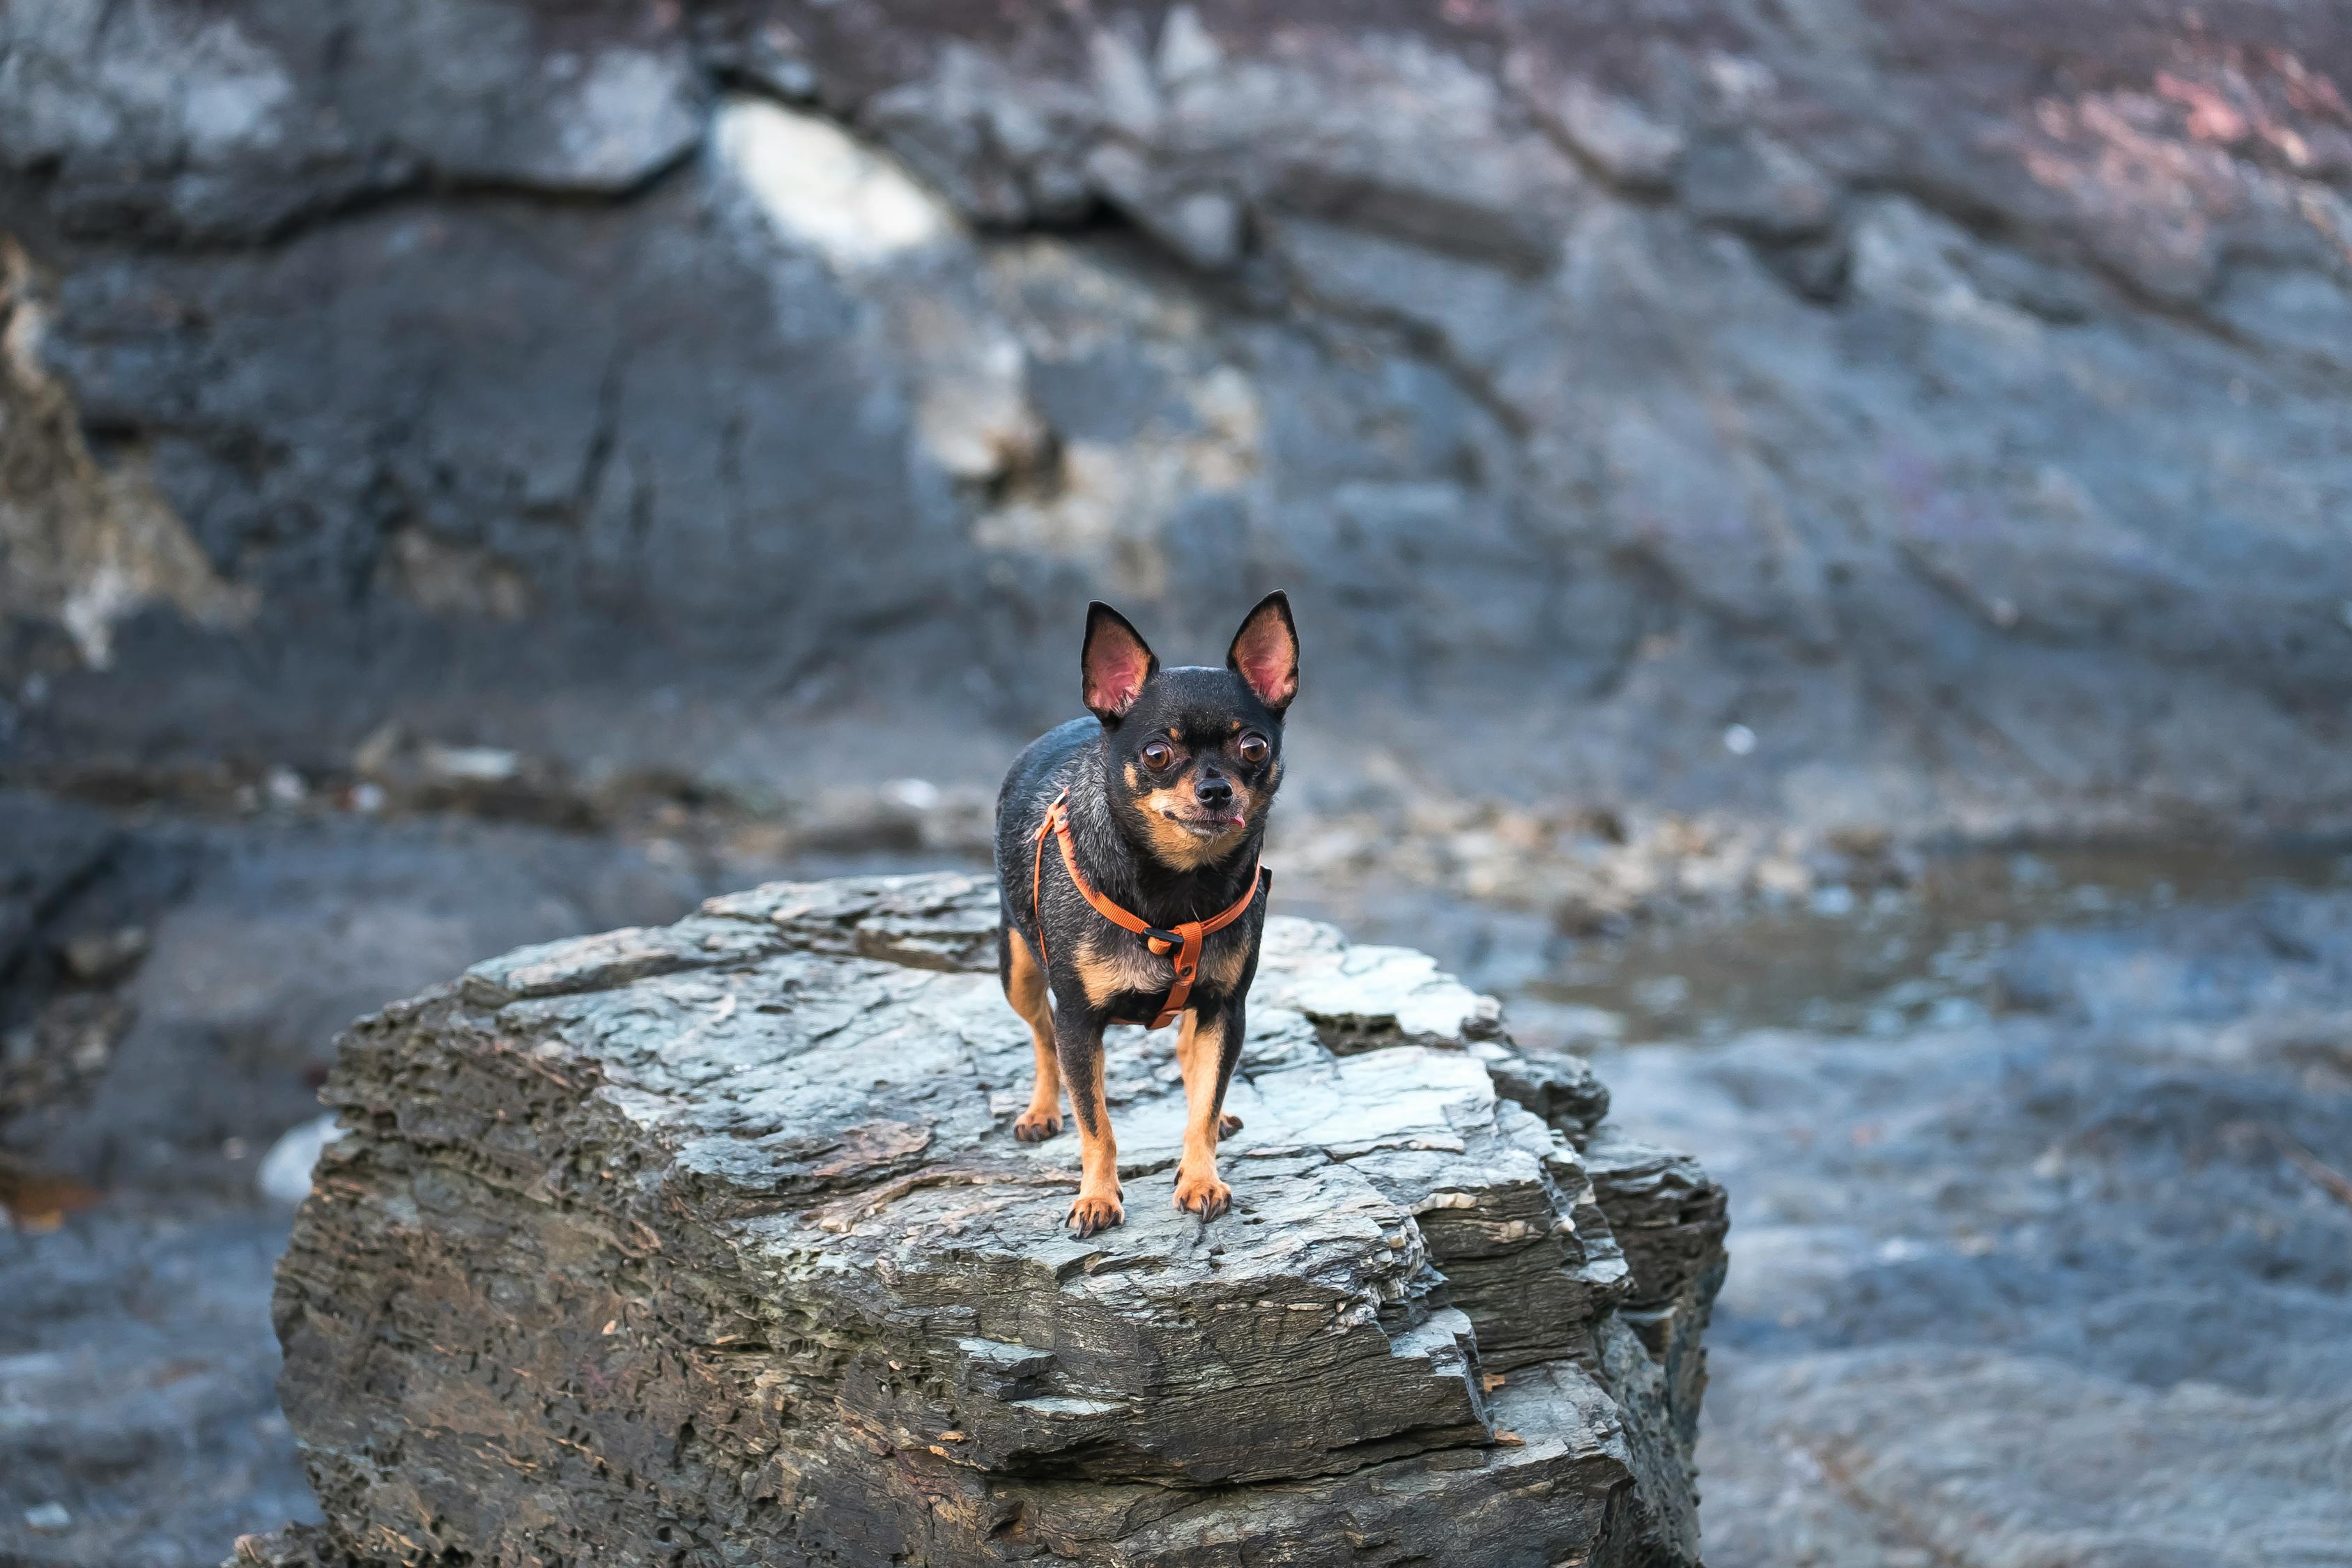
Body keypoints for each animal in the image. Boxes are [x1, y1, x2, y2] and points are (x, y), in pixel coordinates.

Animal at [983, 592, 1298, 1241]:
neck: (1179, 883)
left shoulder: (1225, 1008)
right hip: (1019, 970)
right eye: (1157, 754)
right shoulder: (1078, 1021)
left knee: (1188, 1055)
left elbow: (1203, 1099)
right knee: (1041, 1037)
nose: (1215, 790)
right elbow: (1096, 1124)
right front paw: (1096, 1197)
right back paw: (1041, 1110)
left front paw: (1200, 1177)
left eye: (1253, 748)